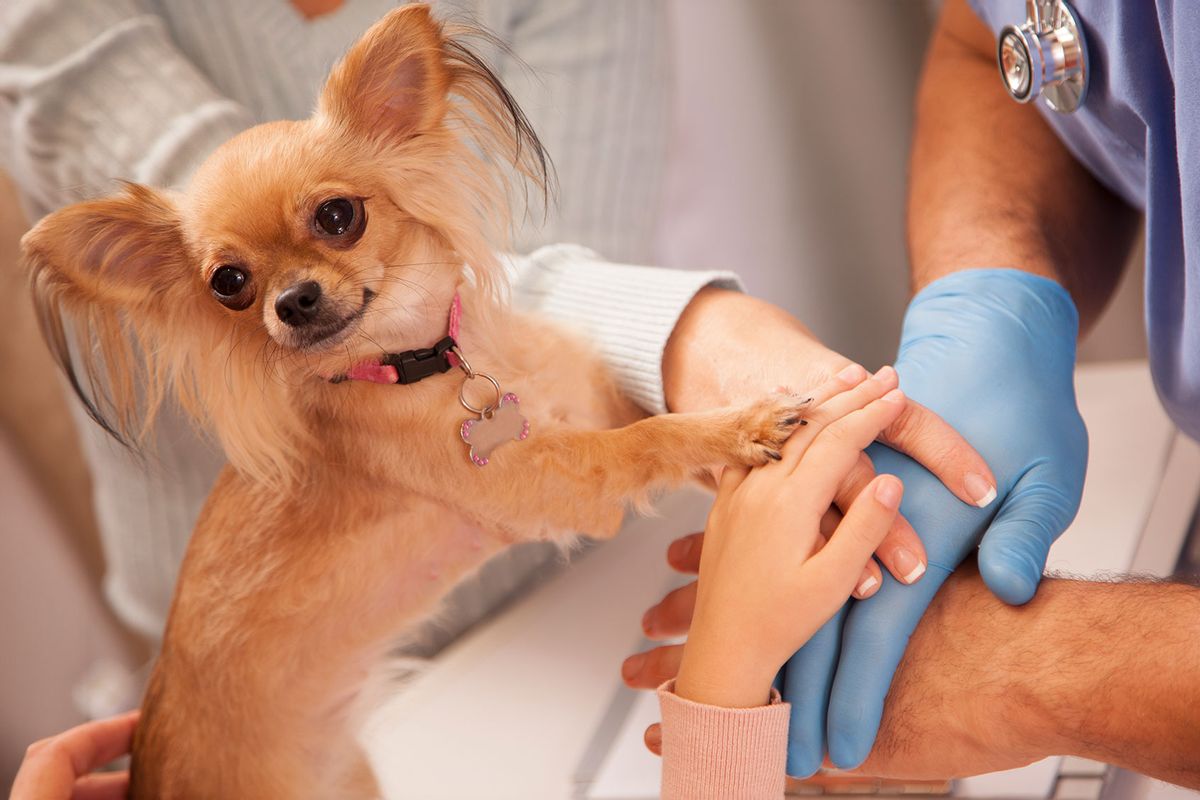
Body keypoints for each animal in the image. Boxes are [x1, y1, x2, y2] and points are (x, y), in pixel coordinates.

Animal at [21, 7, 806, 800]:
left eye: (338, 216)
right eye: (228, 283)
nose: (292, 300)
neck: (423, 362)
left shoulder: (579, 398)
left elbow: (640, 418)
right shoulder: (554, 486)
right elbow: (645, 442)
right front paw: (738, 429)